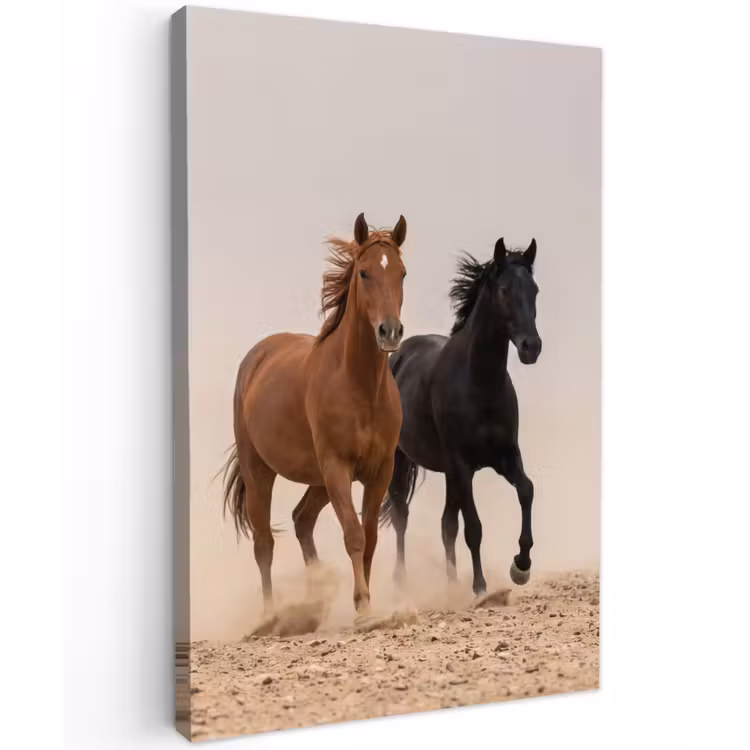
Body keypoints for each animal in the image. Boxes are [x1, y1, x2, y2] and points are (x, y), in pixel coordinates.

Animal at [222, 213, 408, 616]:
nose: (389, 331)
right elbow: (353, 534)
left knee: (302, 520)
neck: (359, 386)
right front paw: (363, 607)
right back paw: (271, 615)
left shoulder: (380, 471)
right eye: (365, 273)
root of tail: (257, 356)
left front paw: (365, 601)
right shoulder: (337, 466)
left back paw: (315, 597)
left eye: (402, 273)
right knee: (264, 543)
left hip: (317, 480)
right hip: (260, 471)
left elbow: (369, 536)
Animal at [379, 237, 542, 596]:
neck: (480, 384)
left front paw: (521, 565)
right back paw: (400, 580)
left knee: (446, 525)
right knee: (401, 515)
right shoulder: (463, 465)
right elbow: (474, 527)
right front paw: (480, 587)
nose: (531, 347)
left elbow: (526, 490)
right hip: (401, 459)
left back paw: (451, 582)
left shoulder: (505, 456)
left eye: (535, 290)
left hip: (448, 473)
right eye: (505, 290)